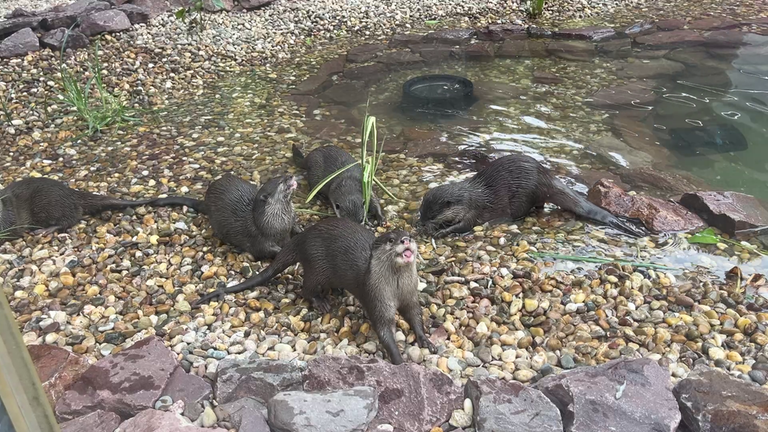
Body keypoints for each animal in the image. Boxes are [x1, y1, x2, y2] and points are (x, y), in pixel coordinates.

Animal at [151, 173, 300, 261]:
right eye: (281, 181)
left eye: (284, 174)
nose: (291, 175)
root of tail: (206, 201)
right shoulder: (258, 237)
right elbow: (264, 250)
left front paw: (299, 230)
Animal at [193, 217, 435, 365]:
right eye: (391, 239)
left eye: (409, 235)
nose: (406, 240)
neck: (395, 289)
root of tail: (302, 237)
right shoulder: (377, 298)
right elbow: (384, 329)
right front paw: (399, 360)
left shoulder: (410, 295)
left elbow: (414, 315)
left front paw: (426, 341)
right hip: (317, 266)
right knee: (305, 288)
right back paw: (321, 302)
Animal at [417, 153, 647, 238]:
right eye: (421, 212)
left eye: (432, 214)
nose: (421, 223)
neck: (470, 198)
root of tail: (547, 178)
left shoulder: (474, 211)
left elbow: (464, 226)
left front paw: (441, 231)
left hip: (524, 196)